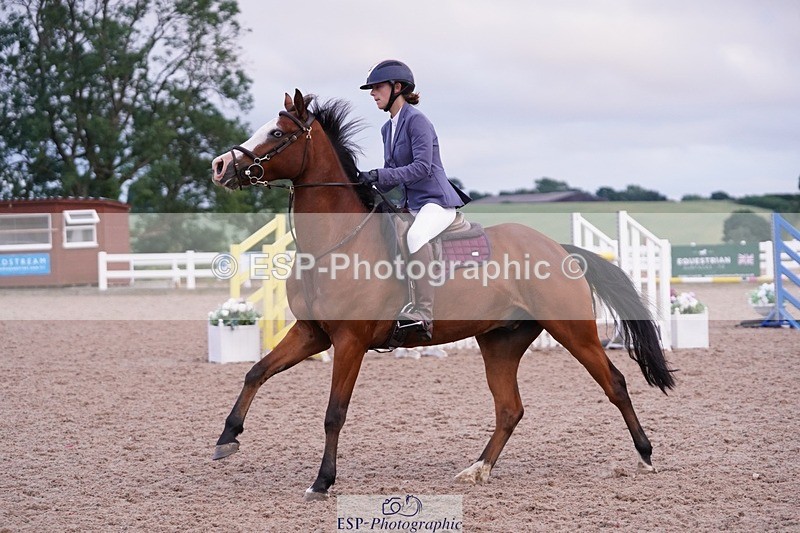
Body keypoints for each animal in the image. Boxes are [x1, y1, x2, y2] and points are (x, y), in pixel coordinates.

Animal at [210, 89, 675, 501]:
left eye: (276, 132)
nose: (219, 166)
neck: (335, 242)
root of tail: (559, 249)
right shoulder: (312, 334)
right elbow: (256, 372)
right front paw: (227, 438)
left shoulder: (349, 342)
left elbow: (334, 414)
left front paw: (322, 482)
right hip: (501, 341)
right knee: (510, 408)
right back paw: (477, 469)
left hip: (572, 330)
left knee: (615, 384)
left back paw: (645, 457)